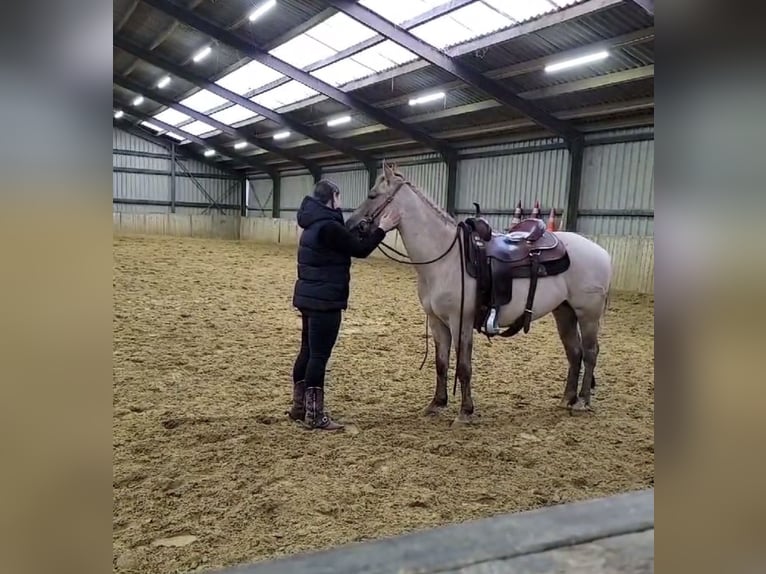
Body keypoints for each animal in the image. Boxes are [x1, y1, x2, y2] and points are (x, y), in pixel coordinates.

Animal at [345, 161, 612, 426]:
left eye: (372, 195)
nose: (349, 226)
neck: (445, 257)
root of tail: (601, 251)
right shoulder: (437, 321)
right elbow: (441, 363)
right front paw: (436, 404)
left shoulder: (460, 321)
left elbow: (464, 366)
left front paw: (465, 412)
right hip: (564, 312)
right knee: (574, 352)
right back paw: (567, 399)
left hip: (588, 314)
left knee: (590, 353)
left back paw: (582, 402)